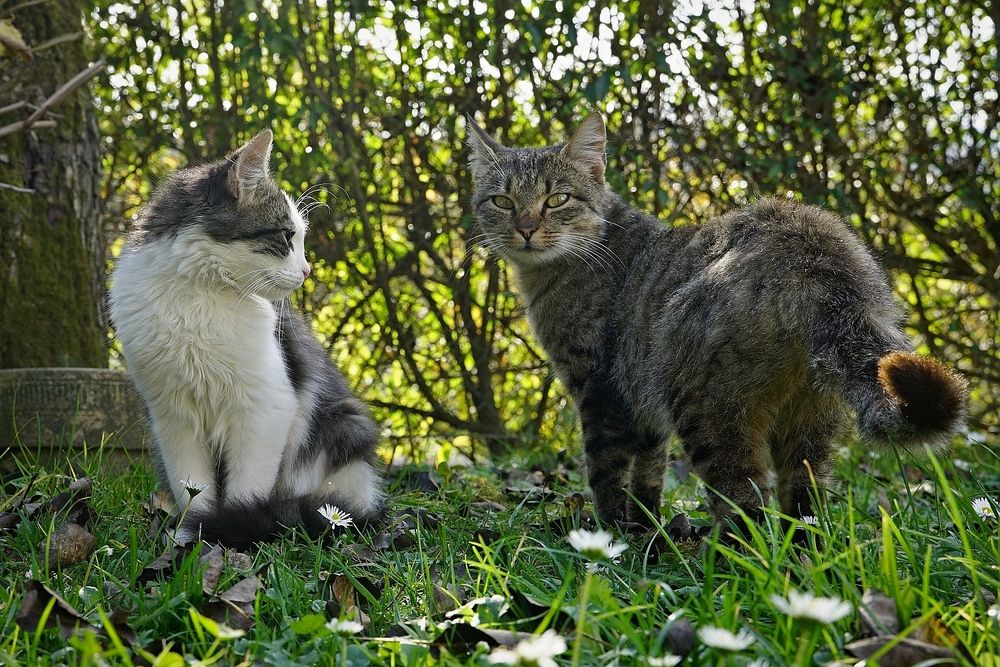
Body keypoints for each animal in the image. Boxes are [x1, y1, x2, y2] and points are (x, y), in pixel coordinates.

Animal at [109, 129, 384, 549]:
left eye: (301, 239)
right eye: (287, 236)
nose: (307, 270)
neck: (200, 294)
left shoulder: (264, 408)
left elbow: (245, 493)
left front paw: (232, 535)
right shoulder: (173, 416)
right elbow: (194, 491)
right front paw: (189, 539)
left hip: (344, 425)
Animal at [468, 113, 967, 528]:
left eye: (557, 199)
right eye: (502, 201)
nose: (526, 228)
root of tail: (818, 257)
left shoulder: (601, 390)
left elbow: (607, 473)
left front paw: (610, 537)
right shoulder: (641, 402)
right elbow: (648, 472)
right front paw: (645, 529)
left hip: (704, 404)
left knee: (747, 507)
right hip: (807, 421)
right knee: (804, 504)